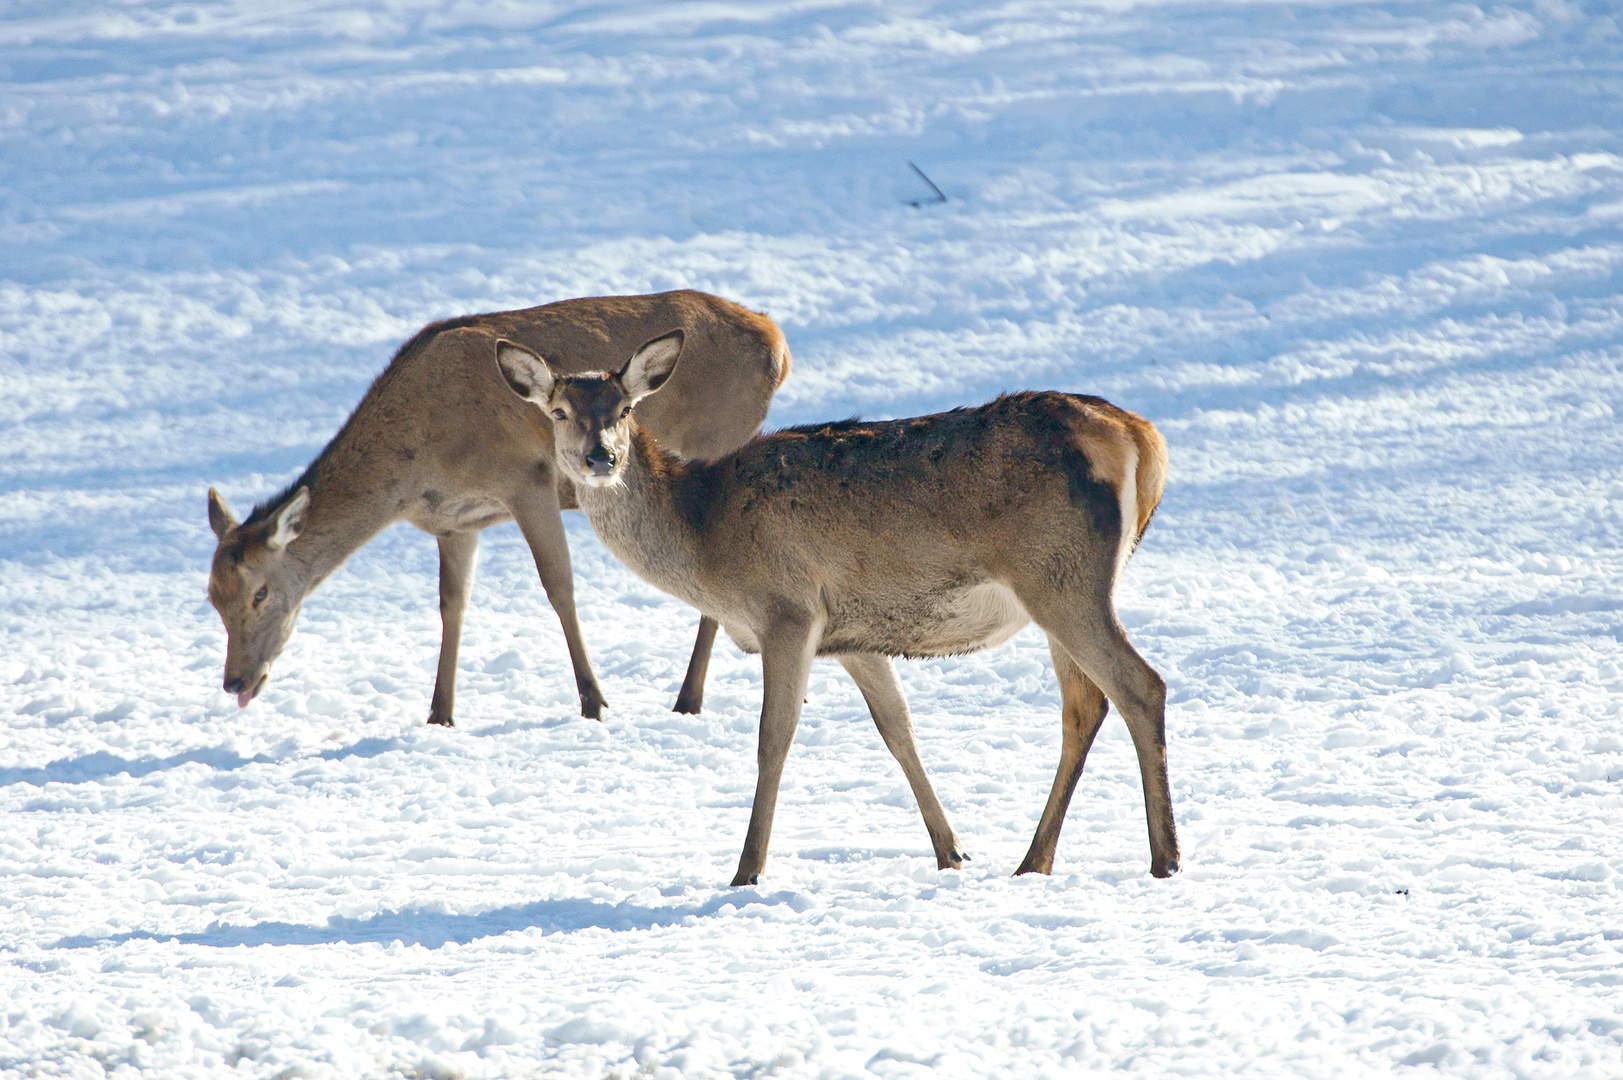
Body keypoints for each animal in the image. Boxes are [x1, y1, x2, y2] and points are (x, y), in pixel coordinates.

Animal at [209, 285, 792, 724]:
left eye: (260, 593)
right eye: (213, 599)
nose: (234, 680)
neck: (414, 467)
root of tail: (779, 344)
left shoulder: (526, 479)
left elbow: (559, 586)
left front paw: (593, 700)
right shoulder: (454, 522)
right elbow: (453, 604)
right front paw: (439, 713)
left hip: (720, 437)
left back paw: (687, 697)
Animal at [493, 331, 1181, 883]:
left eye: (626, 409)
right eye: (559, 411)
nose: (601, 457)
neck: (706, 539)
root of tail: (1142, 436)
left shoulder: (786, 608)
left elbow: (773, 737)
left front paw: (746, 869)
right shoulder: (852, 638)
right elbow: (898, 730)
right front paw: (951, 851)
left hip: (1064, 577)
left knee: (1141, 685)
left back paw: (1164, 857)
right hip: (1059, 588)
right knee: (1084, 705)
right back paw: (1034, 859)